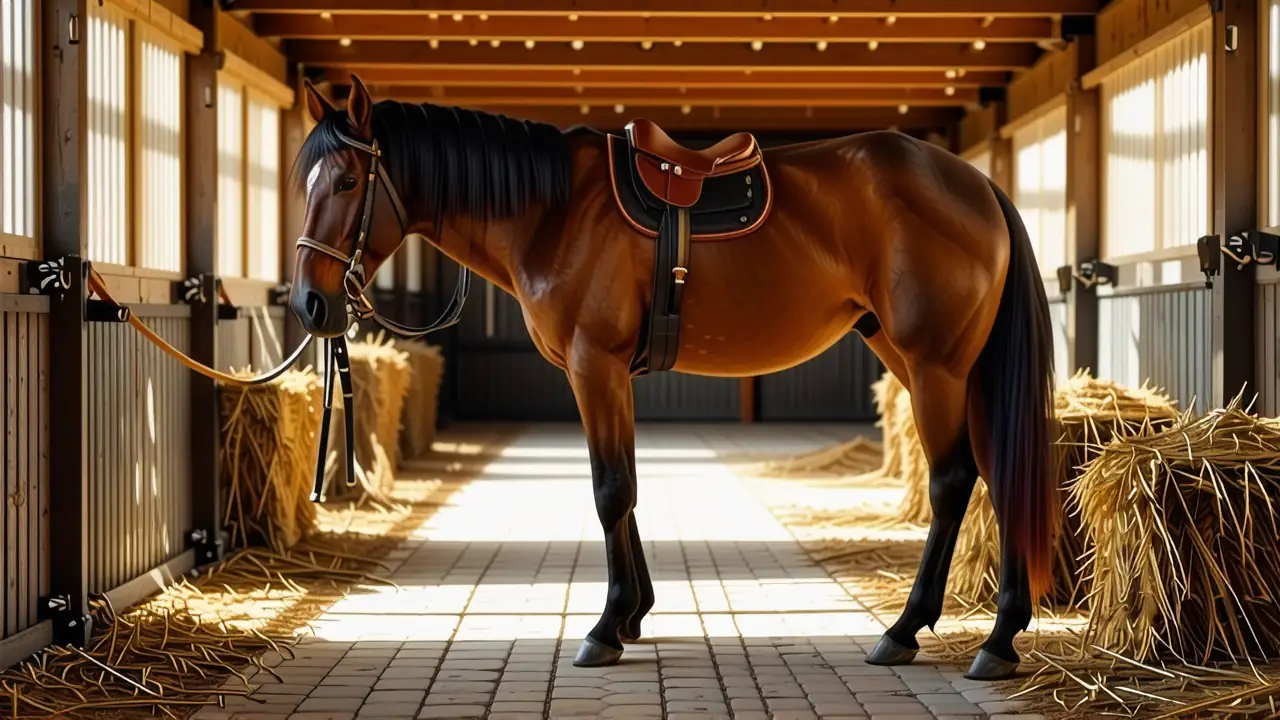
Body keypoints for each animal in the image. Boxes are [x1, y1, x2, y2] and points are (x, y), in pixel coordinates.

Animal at [287, 74, 1059, 681]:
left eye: (349, 180)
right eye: (305, 184)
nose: (309, 305)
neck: (554, 211)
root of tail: (975, 183)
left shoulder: (593, 365)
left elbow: (610, 491)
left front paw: (604, 629)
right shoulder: (605, 374)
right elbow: (625, 487)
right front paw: (634, 614)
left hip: (934, 364)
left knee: (954, 479)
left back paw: (915, 632)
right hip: (932, 361)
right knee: (999, 471)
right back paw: (1001, 636)